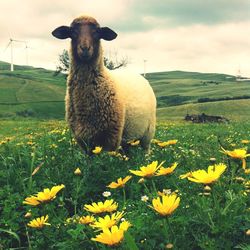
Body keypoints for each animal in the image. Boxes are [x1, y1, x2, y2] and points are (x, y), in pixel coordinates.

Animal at [51, 15, 155, 153]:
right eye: (72, 32)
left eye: (97, 32)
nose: (85, 49)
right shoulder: (83, 140)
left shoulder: (111, 137)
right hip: (129, 138)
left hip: (147, 134)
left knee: (146, 149)